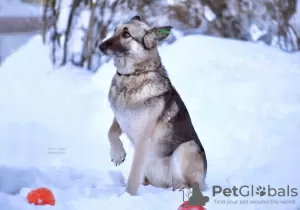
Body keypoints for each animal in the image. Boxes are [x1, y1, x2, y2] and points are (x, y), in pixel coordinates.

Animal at [99, 15, 207, 196]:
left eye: (126, 34)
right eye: (114, 30)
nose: (100, 46)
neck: (133, 75)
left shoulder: (142, 139)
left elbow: (133, 175)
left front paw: (127, 196)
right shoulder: (120, 118)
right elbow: (110, 132)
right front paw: (117, 154)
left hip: (186, 148)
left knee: (191, 184)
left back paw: (181, 187)